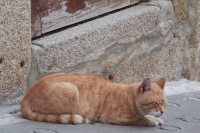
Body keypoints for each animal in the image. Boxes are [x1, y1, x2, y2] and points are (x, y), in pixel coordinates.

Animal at [20, 72, 167, 127]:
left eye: (165, 104)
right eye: (155, 103)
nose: (163, 112)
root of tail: (24, 99)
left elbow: (147, 116)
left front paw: (154, 118)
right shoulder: (116, 118)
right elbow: (139, 119)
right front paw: (151, 121)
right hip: (71, 90)